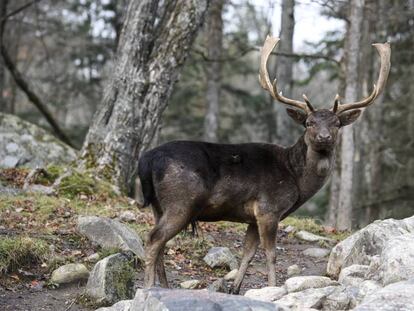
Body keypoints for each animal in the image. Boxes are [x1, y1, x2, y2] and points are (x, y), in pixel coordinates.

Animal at [137, 35, 390, 294]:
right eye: (308, 123)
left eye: (337, 124)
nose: (324, 137)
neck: (295, 177)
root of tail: (147, 159)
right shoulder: (269, 208)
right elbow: (270, 254)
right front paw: (272, 287)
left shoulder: (252, 216)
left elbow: (248, 253)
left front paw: (235, 289)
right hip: (182, 201)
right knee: (153, 239)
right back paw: (147, 287)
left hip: (159, 205)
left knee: (159, 242)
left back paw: (164, 287)